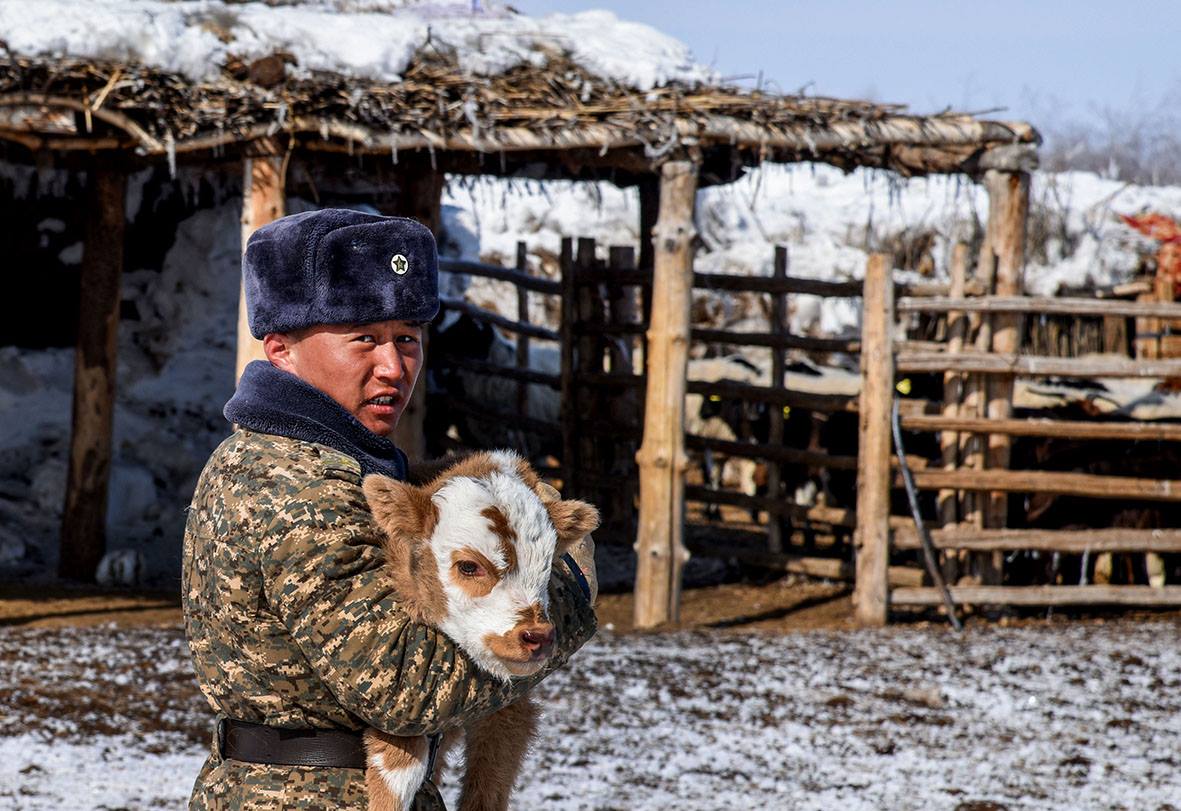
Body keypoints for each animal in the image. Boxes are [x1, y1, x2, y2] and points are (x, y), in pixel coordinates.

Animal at [359, 450, 599, 811]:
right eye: (469, 566)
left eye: (548, 567)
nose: (537, 636)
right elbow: (400, 764)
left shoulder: (511, 707)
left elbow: (489, 783)